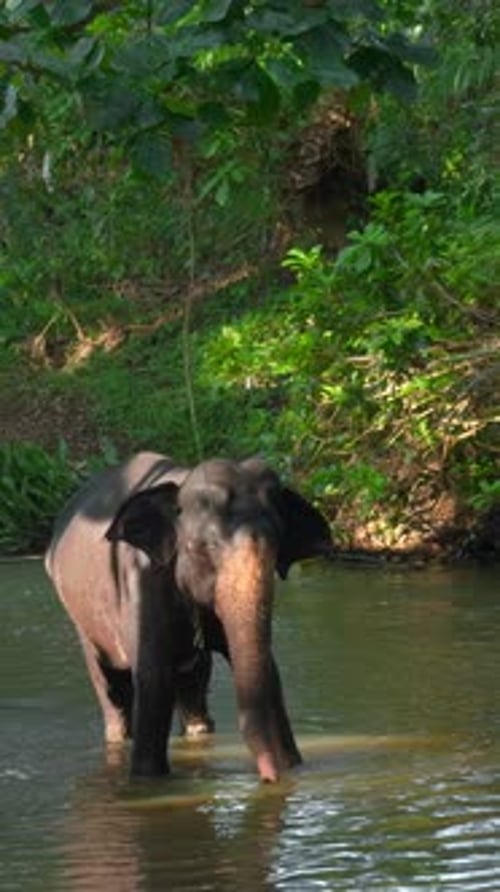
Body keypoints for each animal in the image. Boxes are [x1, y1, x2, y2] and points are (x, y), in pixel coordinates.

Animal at [45, 451, 332, 781]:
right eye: (203, 547)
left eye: (277, 545)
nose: (270, 778)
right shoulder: (141, 580)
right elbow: (154, 679)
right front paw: (146, 781)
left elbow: (271, 676)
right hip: (80, 614)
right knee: (110, 687)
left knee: (193, 686)